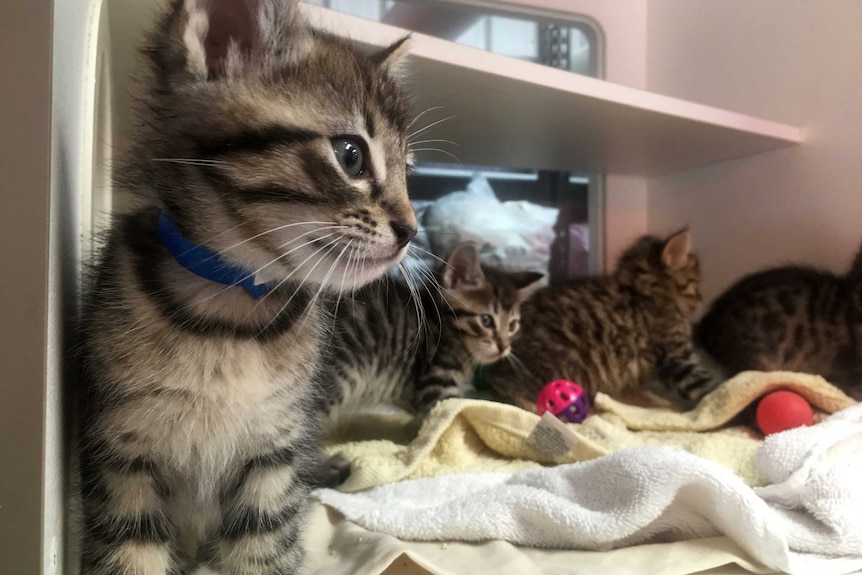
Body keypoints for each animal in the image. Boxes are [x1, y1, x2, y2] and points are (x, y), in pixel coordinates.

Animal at [79, 2, 416, 572]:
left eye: (409, 172)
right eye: (351, 155)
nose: (413, 230)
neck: (231, 311)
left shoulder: (274, 456)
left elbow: (260, 549)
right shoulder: (122, 455)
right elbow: (131, 554)